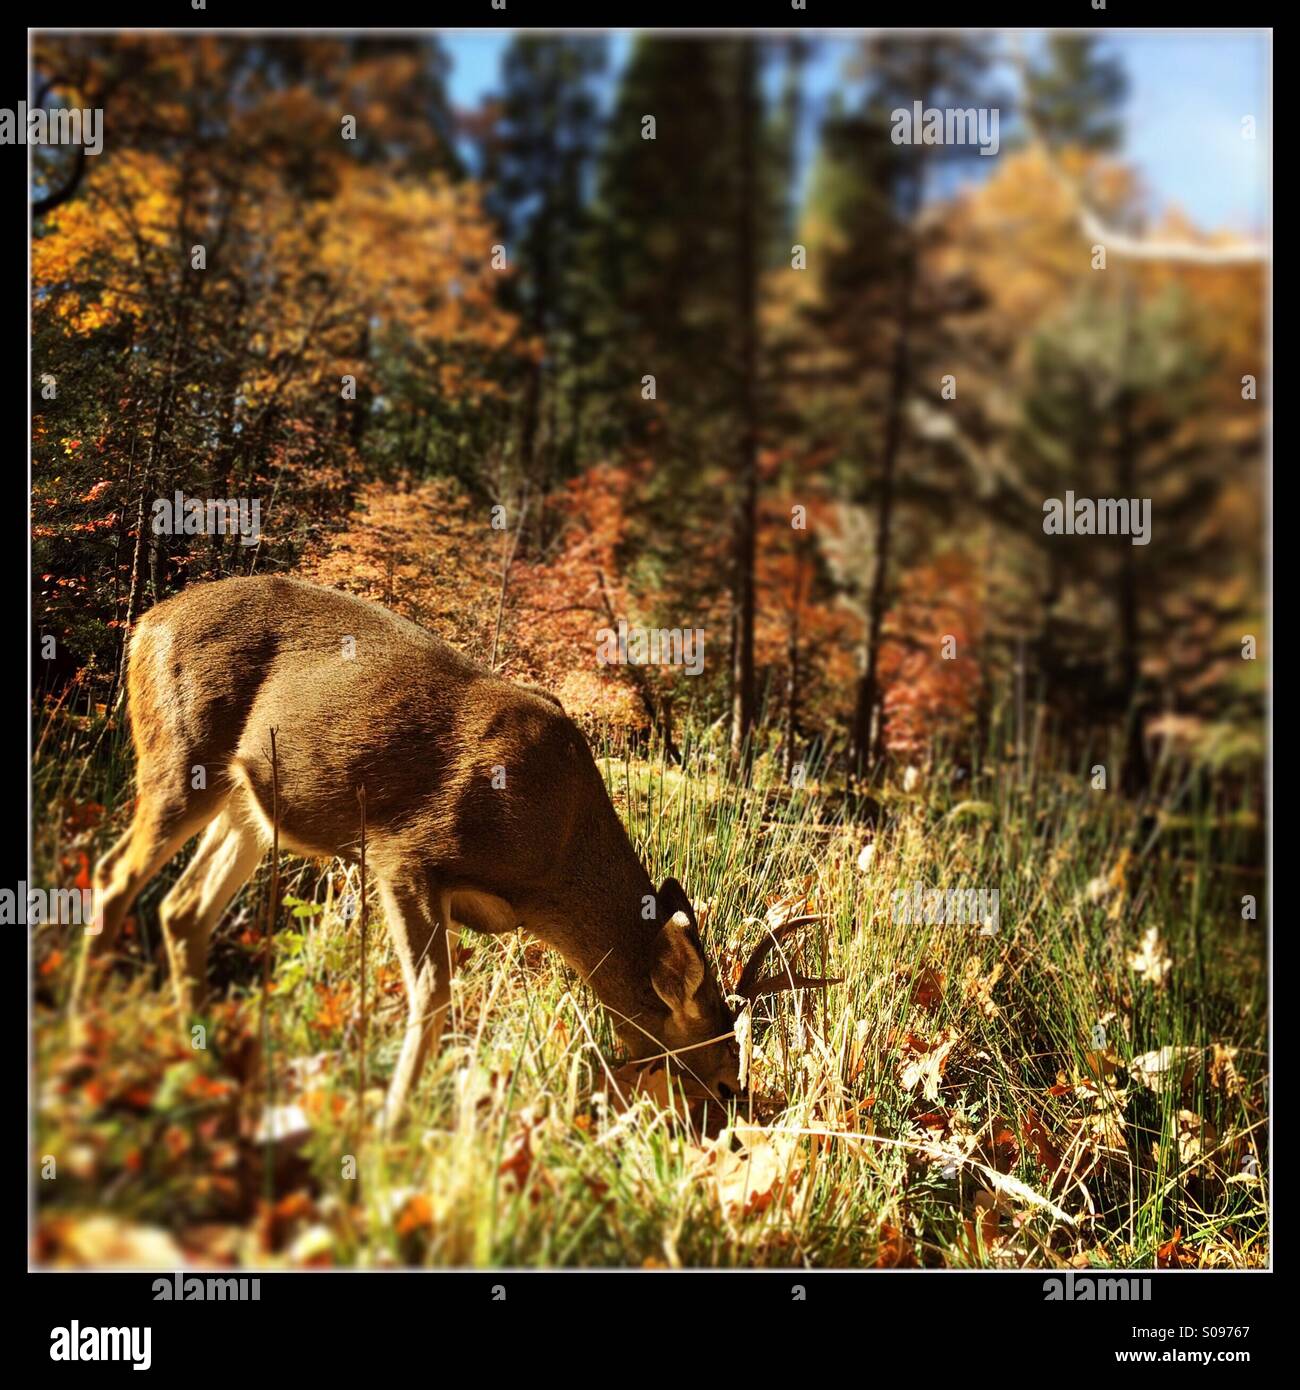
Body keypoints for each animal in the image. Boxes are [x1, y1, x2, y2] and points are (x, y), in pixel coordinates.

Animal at [70, 575, 836, 1127]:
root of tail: (144, 626)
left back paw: (204, 1062)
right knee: (113, 877)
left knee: (182, 908)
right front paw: (391, 1124)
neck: (554, 864)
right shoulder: (405, 853)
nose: (729, 1137)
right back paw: (85, 1037)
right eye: (725, 1079)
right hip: (179, 756)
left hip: (248, 808)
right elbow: (433, 994)